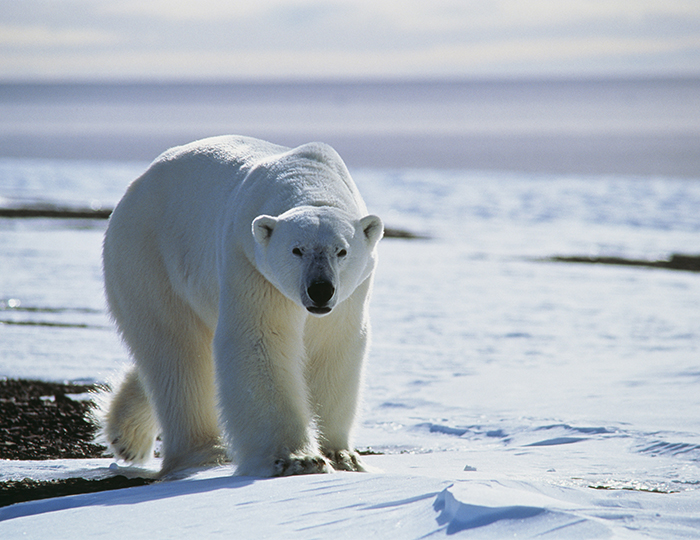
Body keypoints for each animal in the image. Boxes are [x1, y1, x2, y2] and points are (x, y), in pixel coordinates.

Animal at [101, 135, 383, 478]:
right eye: (296, 249)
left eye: (341, 251)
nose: (320, 290)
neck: (309, 178)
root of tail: (136, 185)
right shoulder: (249, 263)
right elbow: (260, 341)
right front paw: (297, 459)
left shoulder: (350, 294)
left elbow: (333, 347)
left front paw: (341, 455)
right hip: (149, 256)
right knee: (176, 352)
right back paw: (203, 452)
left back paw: (126, 434)